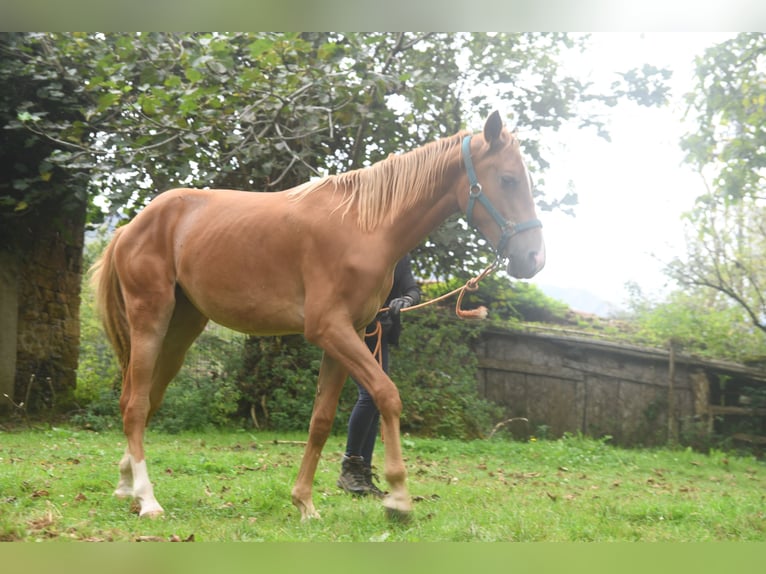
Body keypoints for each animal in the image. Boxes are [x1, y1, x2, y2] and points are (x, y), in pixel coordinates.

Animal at [91, 110, 545, 521]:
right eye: (508, 179)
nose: (534, 259)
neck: (365, 225)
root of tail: (132, 226)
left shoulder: (349, 335)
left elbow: (321, 420)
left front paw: (304, 503)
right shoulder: (330, 330)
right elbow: (387, 395)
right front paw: (398, 498)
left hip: (181, 330)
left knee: (147, 399)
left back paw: (126, 484)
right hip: (150, 319)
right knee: (134, 403)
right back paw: (148, 500)